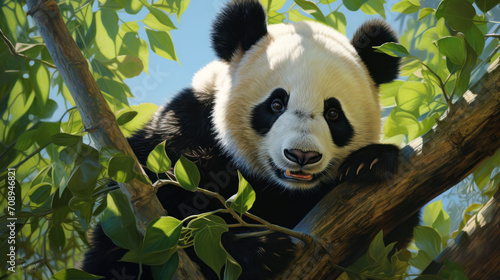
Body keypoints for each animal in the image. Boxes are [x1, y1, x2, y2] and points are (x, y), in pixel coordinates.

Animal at [84, 0, 420, 278]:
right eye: (276, 104)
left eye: (334, 113)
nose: (302, 155)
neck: (283, 189)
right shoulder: (178, 138)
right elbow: (144, 242)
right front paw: (261, 250)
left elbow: (381, 251)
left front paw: (370, 162)